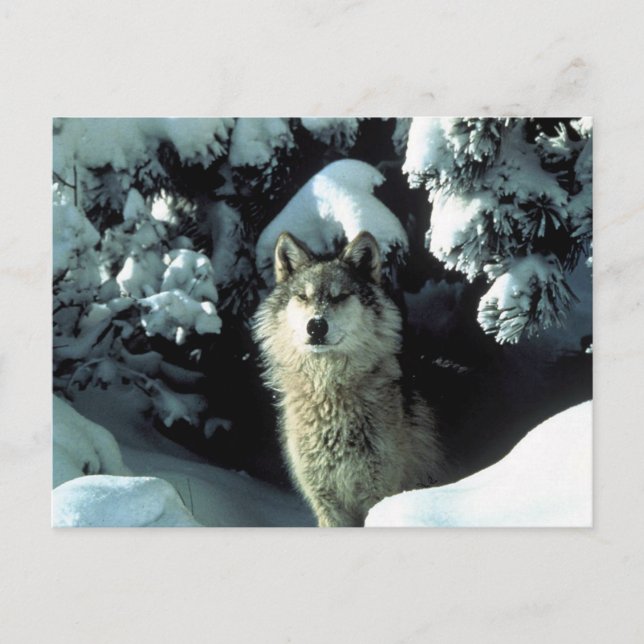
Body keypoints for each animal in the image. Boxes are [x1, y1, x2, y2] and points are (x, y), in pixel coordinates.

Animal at [253, 231, 448, 527]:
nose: (316, 326)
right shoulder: (327, 503)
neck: (329, 396)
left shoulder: (378, 494)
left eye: (340, 296)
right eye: (303, 297)